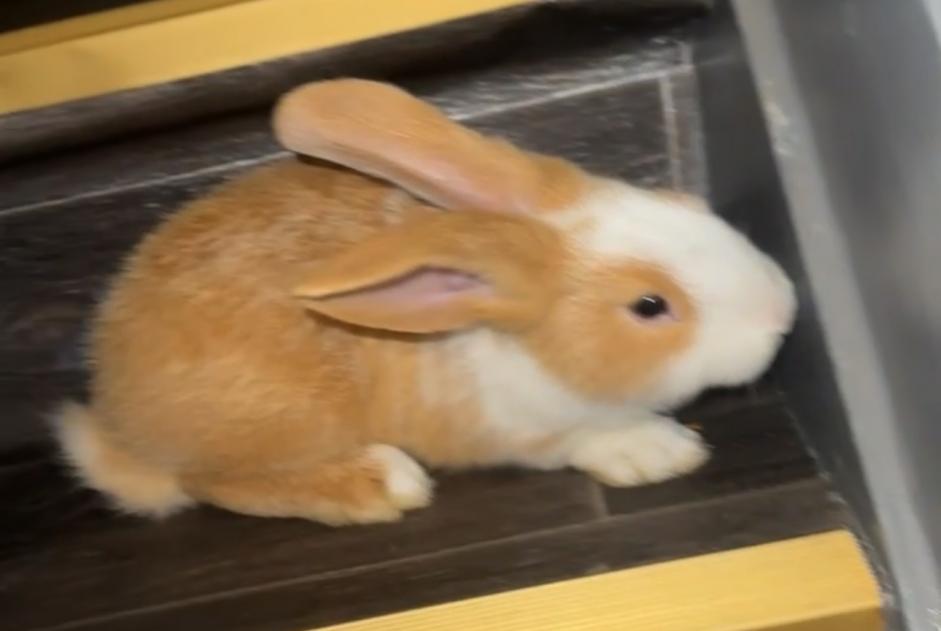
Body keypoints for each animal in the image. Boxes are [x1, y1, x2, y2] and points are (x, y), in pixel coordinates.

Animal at [54, 79, 797, 526]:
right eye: (648, 306)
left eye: (684, 201)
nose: (783, 311)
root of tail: (121, 425)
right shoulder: (513, 429)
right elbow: (579, 438)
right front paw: (658, 450)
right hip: (278, 425)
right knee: (213, 483)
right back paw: (380, 483)